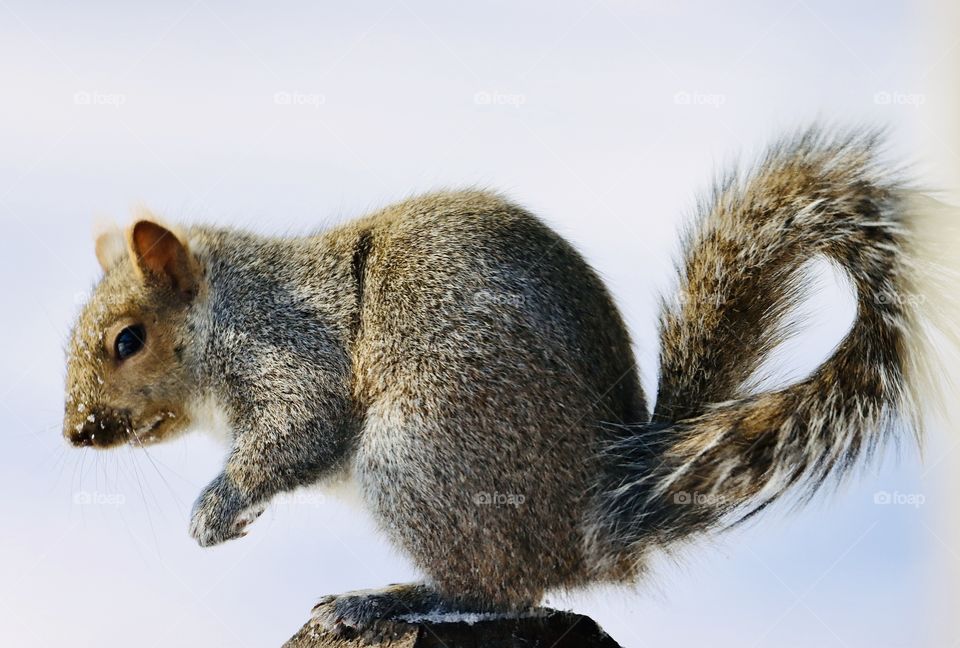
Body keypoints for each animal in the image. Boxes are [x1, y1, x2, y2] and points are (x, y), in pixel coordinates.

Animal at [63, 127, 958, 631]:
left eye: (127, 340)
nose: (77, 432)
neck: (228, 308)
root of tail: (602, 522)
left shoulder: (289, 352)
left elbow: (300, 428)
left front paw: (216, 509)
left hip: (420, 454)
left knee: (503, 590)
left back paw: (392, 598)